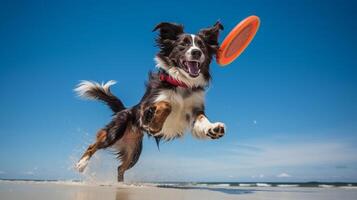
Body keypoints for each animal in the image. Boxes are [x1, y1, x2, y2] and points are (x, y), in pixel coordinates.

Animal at [74, 21, 225, 181]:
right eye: (183, 45)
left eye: (202, 45)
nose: (196, 52)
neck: (182, 84)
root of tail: (125, 109)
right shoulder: (145, 108)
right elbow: (167, 104)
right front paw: (156, 125)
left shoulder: (194, 110)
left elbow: (202, 119)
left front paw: (213, 128)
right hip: (115, 133)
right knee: (94, 146)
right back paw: (81, 164)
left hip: (134, 150)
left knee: (120, 168)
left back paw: (121, 184)